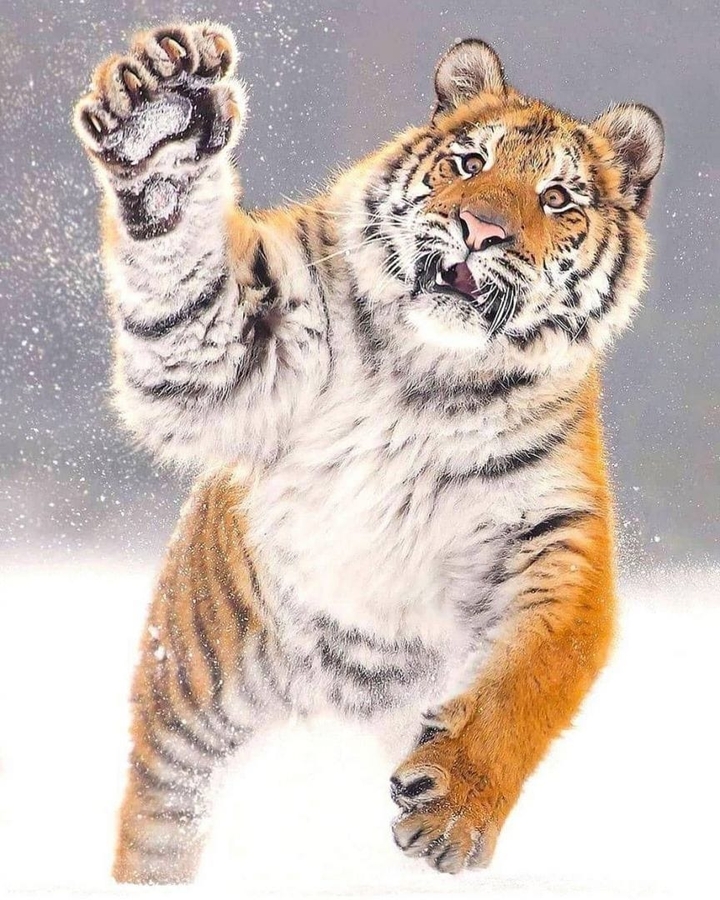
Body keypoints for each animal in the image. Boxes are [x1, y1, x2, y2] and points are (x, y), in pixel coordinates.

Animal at [73, 21, 664, 884]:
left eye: (557, 199)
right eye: (469, 163)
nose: (480, 229)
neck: (432, 376)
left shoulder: (551, 534)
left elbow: (530, 678)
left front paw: (453, 809)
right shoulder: (231, 350)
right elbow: (184, 278)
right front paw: (158, 117)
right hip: (191, 712)